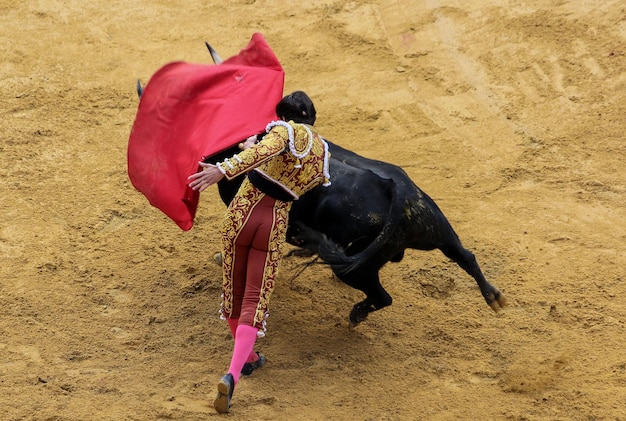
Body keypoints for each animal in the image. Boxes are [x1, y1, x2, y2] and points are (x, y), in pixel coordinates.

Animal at [206, 139, 508, 324]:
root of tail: (397, 188)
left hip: (358, 269)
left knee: (381, 296)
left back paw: (355, 316)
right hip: (435, 229)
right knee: (464, 255)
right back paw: (493, 297)